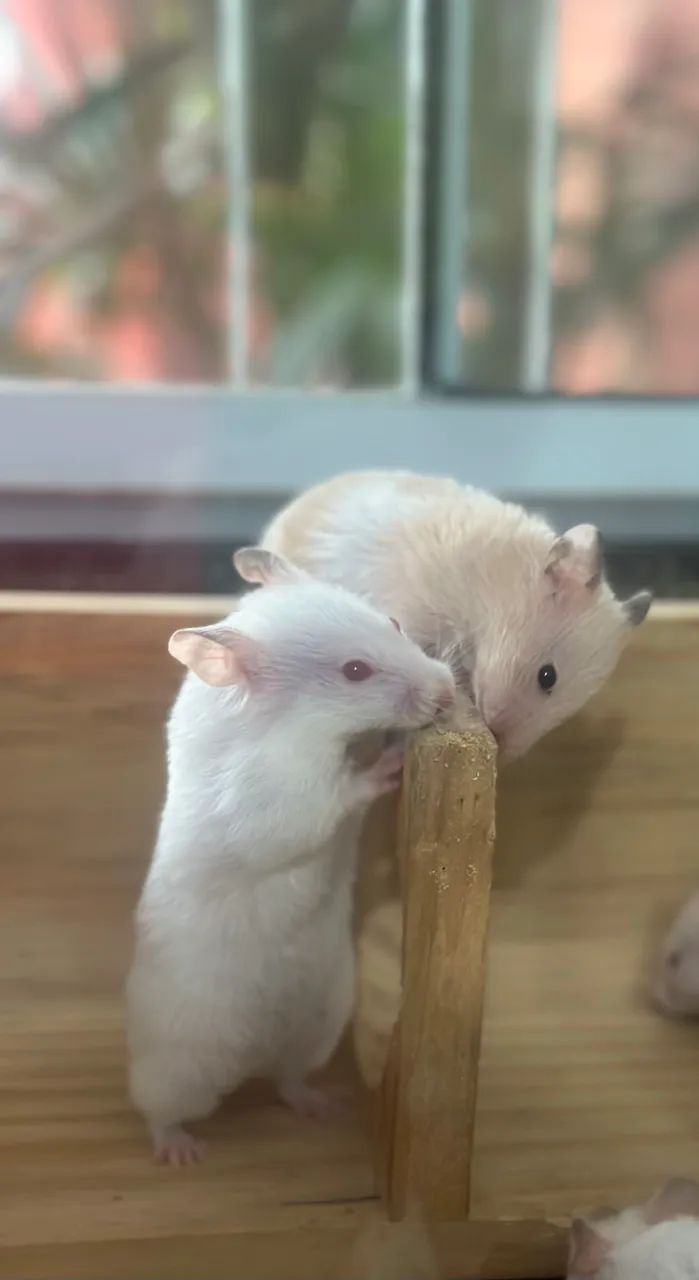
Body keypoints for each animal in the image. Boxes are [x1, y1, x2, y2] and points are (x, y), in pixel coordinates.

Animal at [126, 546, 454, 1165]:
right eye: (355, 672)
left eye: (394, 625)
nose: (448, 691)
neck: (302, 727)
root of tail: (248, 1061)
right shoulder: (280, 800)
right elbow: (336, 798)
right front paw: (387, 765)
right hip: (180, 1064)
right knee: (160, 1106)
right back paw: (179, 1150)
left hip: (320, 1025)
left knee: (288, 1079)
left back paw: (323, 1105)